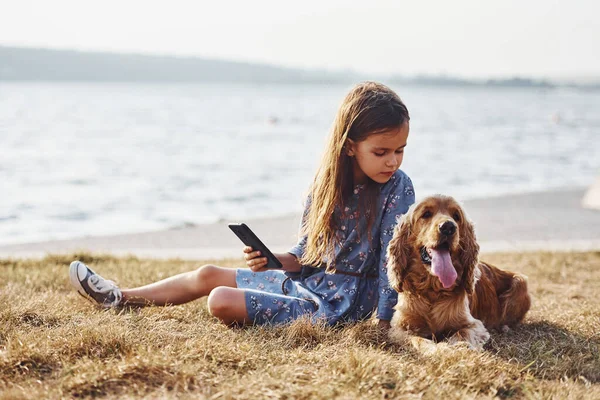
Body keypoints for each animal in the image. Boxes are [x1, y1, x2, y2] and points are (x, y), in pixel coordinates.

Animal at [384, 195, 528, 348]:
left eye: (456, 216)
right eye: (426, 214)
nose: (448, 227)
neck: (432, 289)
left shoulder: (473, 325)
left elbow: (461, 334)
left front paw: (454, 348)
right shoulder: (400, 328)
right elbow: (417, 340)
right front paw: (435, 349)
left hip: (520, 282)